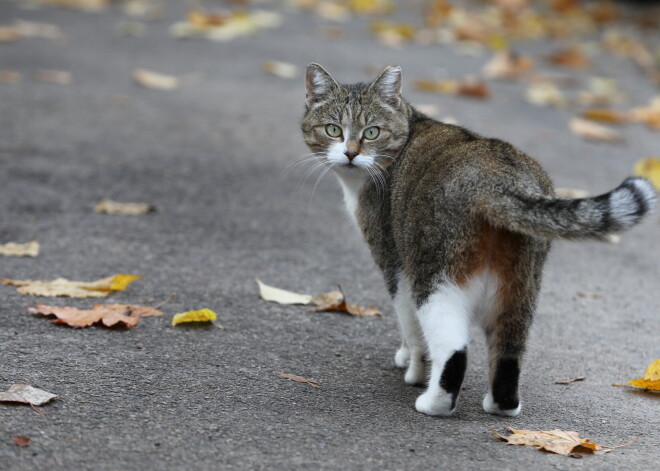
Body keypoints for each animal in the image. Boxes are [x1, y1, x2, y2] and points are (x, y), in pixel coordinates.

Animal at [300, 61, 656, 416]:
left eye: (371, 132)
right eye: (333, 129)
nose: (350, 153)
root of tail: (497, 177)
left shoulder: (395, 262)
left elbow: (411, 328)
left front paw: (414, 368)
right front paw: (406, 358)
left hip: (435, 275)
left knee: (454, 349)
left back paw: (434, 402)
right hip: (520, 285)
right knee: (509, 351)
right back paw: (501, 405)